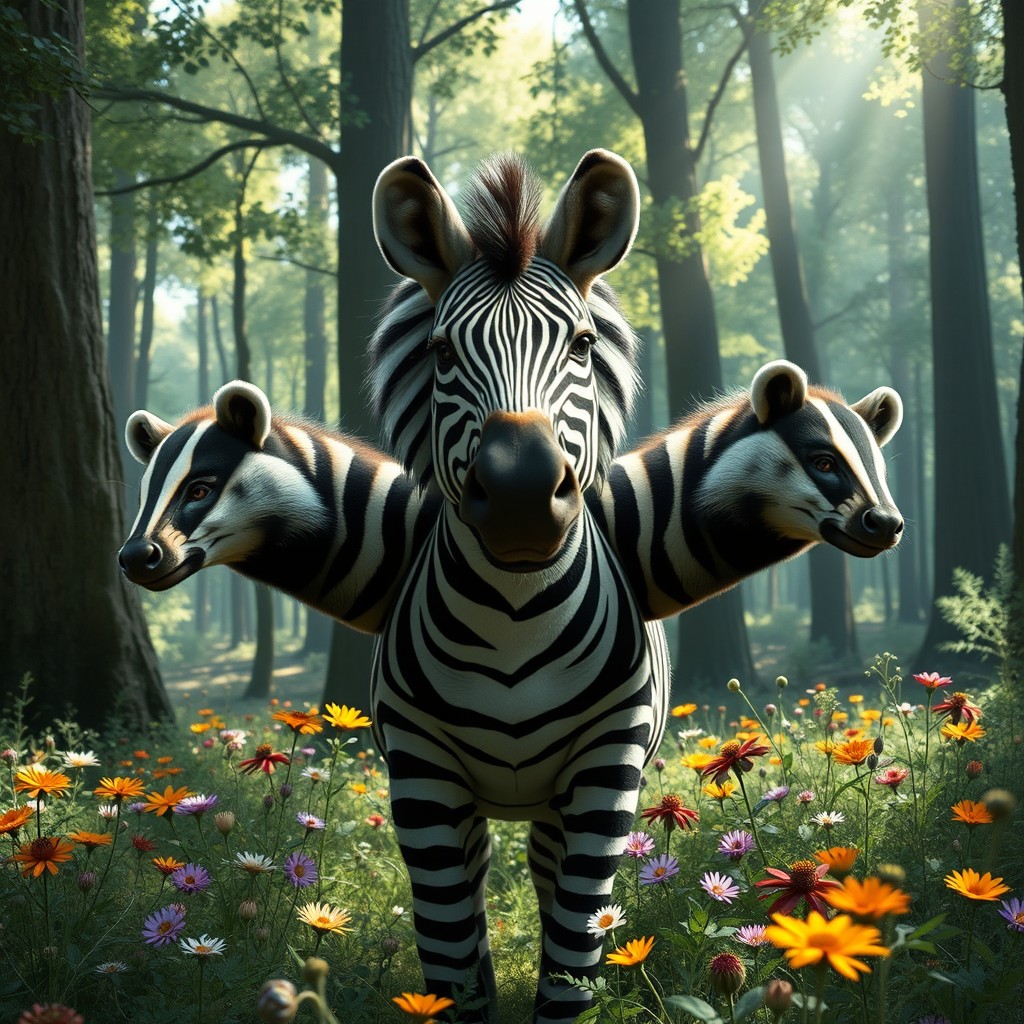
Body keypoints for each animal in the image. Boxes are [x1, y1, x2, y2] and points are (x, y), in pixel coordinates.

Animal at [117, 150, 903, 1023]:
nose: (524, 494)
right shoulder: (422, 774)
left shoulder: (606, 766)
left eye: (584, 344)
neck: (514, 616)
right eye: (440, 352)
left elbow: (572, 958)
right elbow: (452, 958)